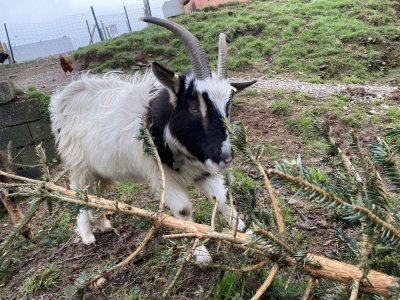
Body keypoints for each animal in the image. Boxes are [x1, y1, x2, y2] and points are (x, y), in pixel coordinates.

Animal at [50, 17, 256, 264]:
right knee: (79, 192)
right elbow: (184, 210)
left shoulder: (204, 169)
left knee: (94, 193)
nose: (225, 156)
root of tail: (64, 97)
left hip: (99, 170)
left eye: (228, 106)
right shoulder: (163, 175)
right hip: (79, 164)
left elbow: (221, 198)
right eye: (194, 107)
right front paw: (200, 253)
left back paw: (102, 224)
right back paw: (87, 235)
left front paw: (246, 233)